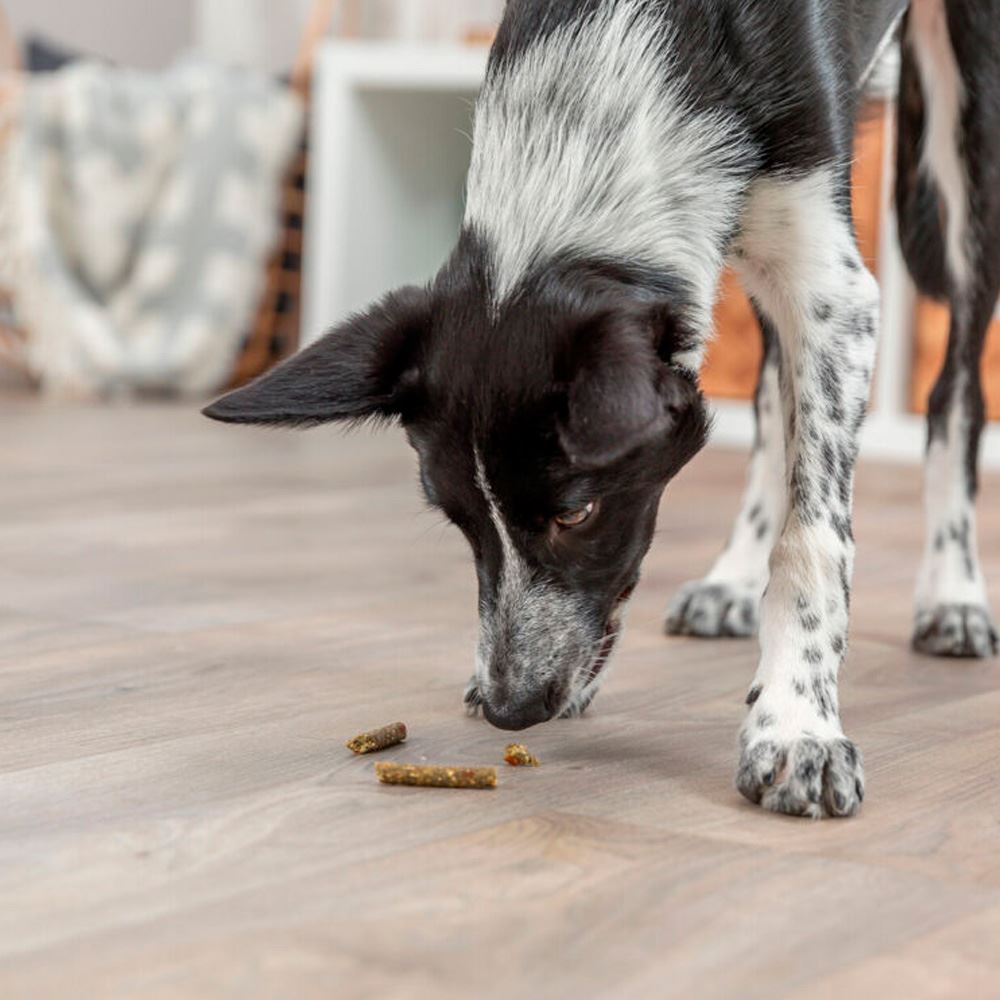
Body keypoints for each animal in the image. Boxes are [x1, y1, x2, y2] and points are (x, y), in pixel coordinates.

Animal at [203, 1, 1000, 820]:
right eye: (458, 520)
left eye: (576, 511)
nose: (510, 710)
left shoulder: (833, 289)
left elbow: (811, 541)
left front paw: (797, 726)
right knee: (775, 395)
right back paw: (732, 578)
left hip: (964, 150)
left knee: (955, 391)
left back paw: (953, 591)